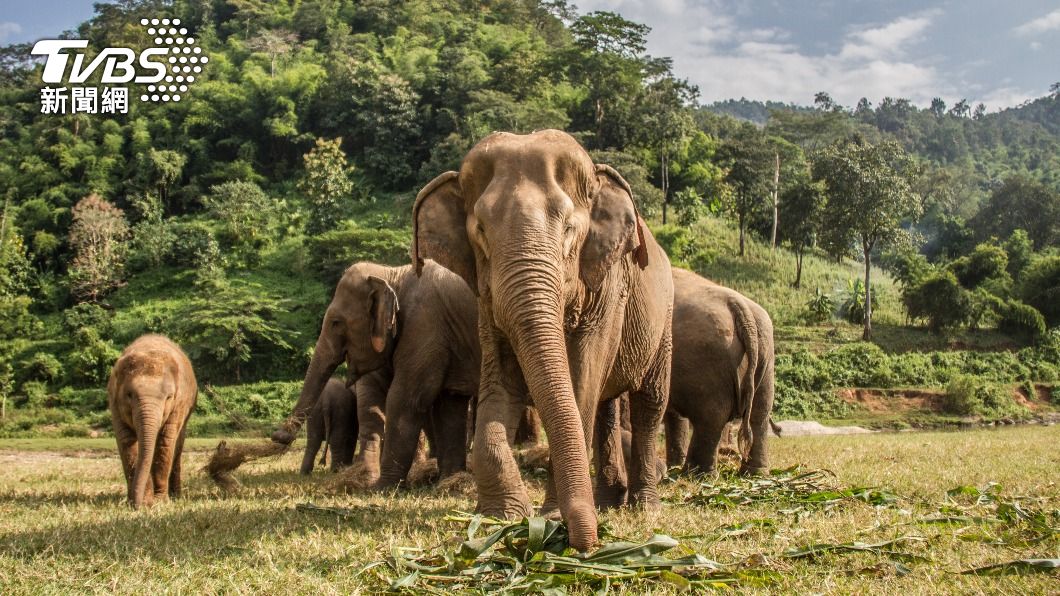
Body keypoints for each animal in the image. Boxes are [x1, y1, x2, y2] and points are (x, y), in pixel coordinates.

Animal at [108, 334, 197, 508]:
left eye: (169, 397)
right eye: (129, 395)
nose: (136, 505)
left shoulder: (179, 404)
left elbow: (165, 442)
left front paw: (160, 501)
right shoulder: (114, 404)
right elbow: (126, 442)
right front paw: (143, 502)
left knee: (177, 445)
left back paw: (176, 496)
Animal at [271, 261, 479, 489]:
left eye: (336, 322)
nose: (278, 436)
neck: (393, 273)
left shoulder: (425, 328)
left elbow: (404, 400)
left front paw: (380, 488)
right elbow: (447, 404)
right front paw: (448, 482)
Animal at [412, 129, 674, 551]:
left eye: (569, 228)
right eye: (480, 231)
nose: (586, 543)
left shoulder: (607, 288)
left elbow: (581, 381)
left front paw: (549, 517)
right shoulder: (487, 301)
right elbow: (500, 382)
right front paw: (501, 517)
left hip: (663, 318)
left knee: (649, 402)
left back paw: (644, 507)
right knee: (606, 406)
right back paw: (607, 502)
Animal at [663, 268, 776, 476]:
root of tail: (741, 309)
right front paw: (672, 466)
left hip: (706, 360)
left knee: (711, 416)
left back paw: (696, 474)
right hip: (766, 355)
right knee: (760, 412)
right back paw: (754, 473)